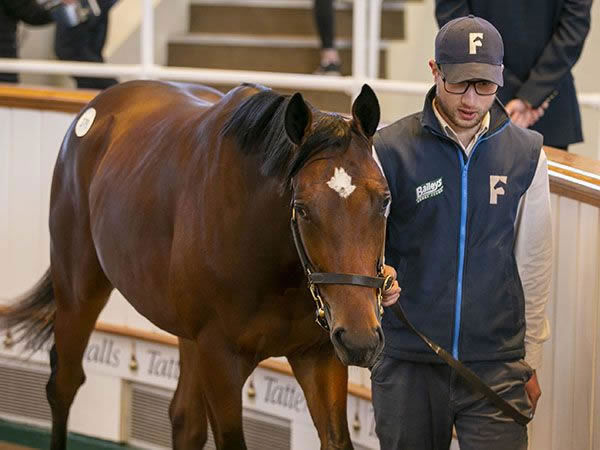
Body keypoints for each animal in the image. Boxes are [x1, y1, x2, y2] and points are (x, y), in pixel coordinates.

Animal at [0, 81, 390, 450]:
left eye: (385, 200)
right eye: (302, 208)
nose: (360, 339)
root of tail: (97, 108)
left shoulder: (319, 355)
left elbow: (336, 439)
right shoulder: (220, 359)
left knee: (184, 421)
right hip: (78, 292)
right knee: (63, 385)